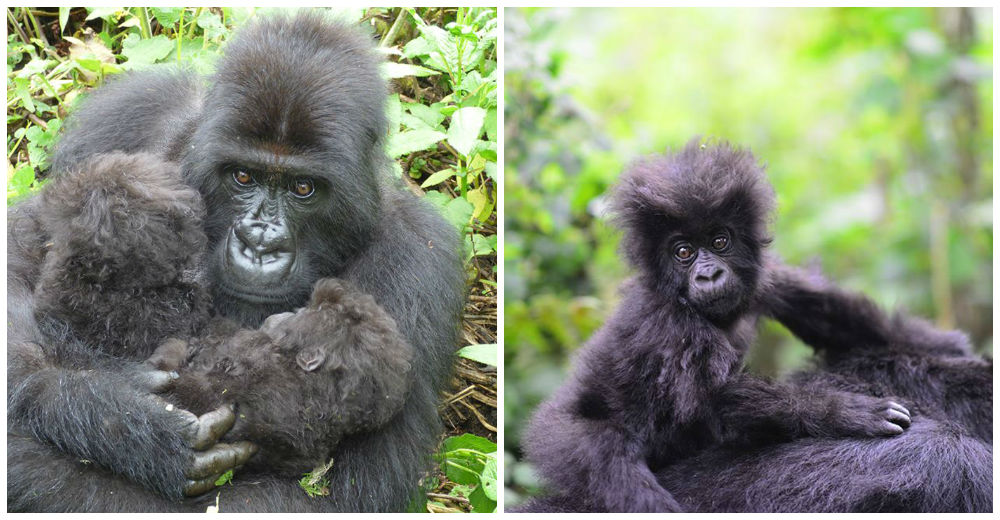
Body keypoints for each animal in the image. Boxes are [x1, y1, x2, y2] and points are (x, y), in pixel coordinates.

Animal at [524, 138, 992, 512]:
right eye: (682, 252)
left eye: (719, 241)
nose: (708, 274)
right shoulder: (669, 323)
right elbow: (720, 400)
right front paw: (848, 412)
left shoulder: (765, 280)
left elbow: (834, 317)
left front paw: (945, 346)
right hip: (562, 437)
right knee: (613, 467)